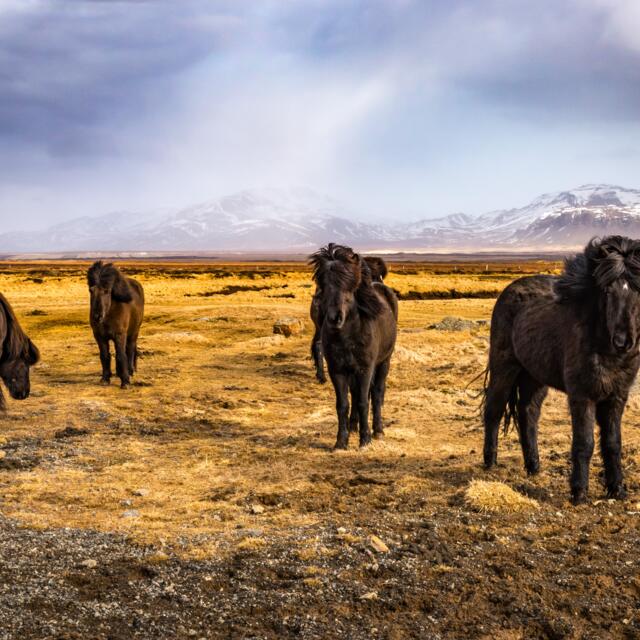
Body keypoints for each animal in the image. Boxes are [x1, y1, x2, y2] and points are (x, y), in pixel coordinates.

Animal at [483, 236, 640, 504]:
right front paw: (579, 493)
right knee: (493, 409)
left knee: (528, 413)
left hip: (534, 377)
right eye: (607, 291)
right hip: (504, 367)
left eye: (638, 289)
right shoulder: (582, 395)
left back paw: (533, 466)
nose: (623, 341)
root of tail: (509, 290)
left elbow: (612, 443)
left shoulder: (617, 396)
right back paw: (490, 464)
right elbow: (584, 442)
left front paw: (617, 489)